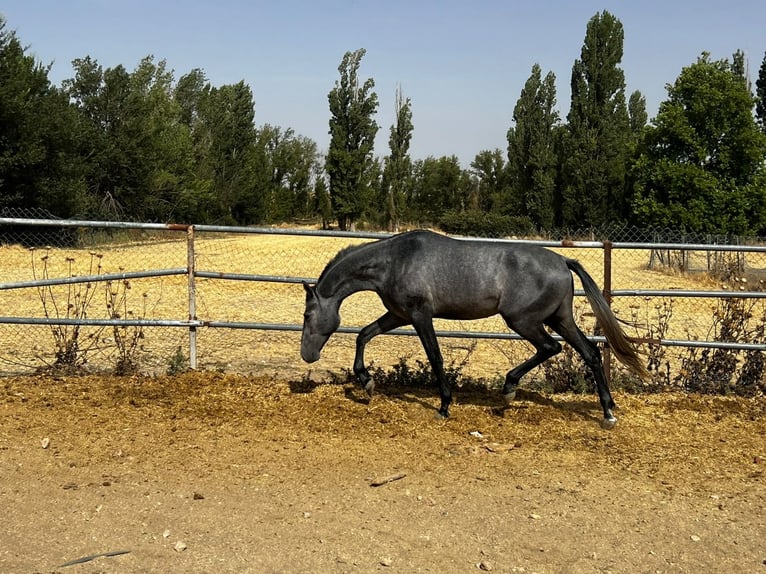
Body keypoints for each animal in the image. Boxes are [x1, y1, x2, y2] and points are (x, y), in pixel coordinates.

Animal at [300, 229, 647, 429]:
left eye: (306, 314)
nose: (307, 355)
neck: (394, 261)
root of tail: (563, 261)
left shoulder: (420, 315)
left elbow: (435, 357)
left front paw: (444, 405)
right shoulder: (398, 315)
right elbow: (364, 334)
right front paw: (367, 382)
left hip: (524, 320)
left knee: (551, 347)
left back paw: (509, 389)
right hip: (559, 319)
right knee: (590, 352)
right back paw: (608, 412)